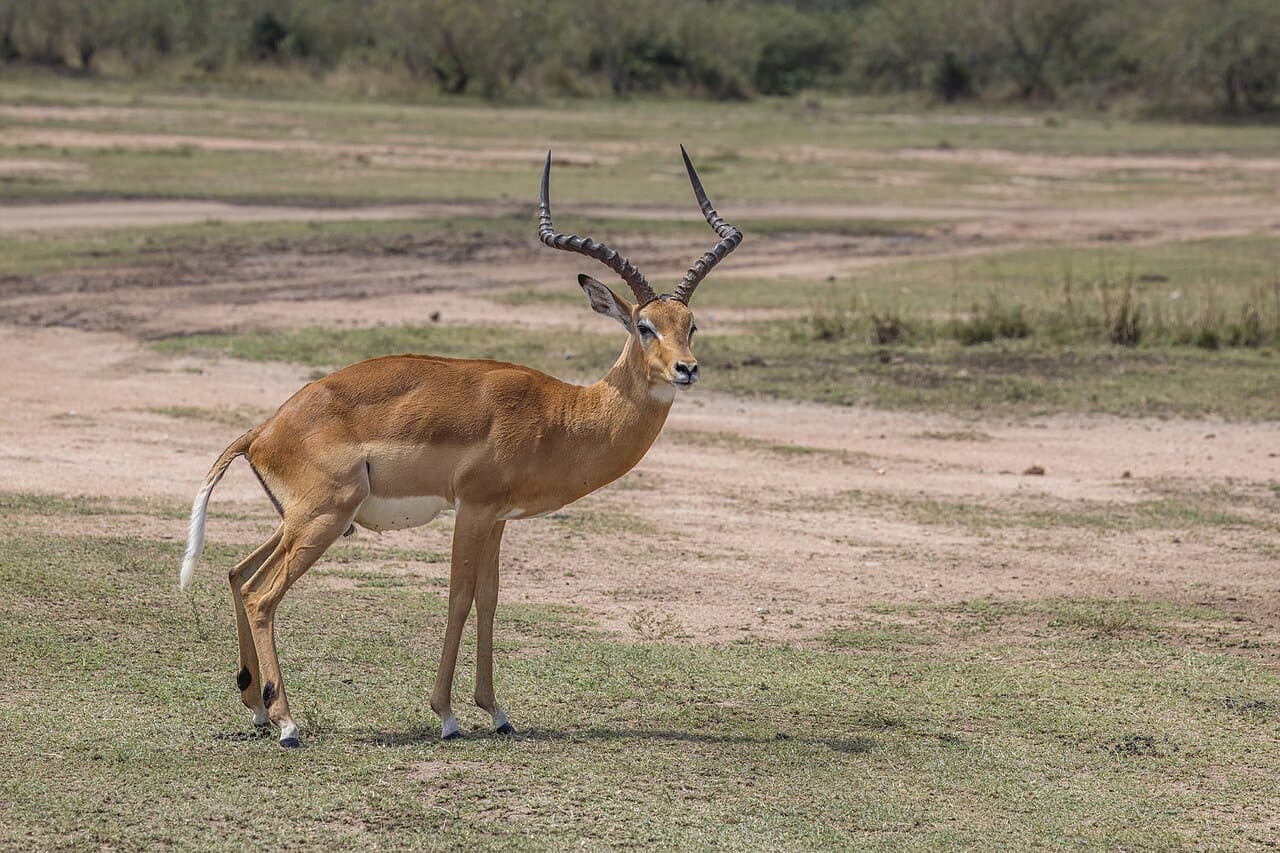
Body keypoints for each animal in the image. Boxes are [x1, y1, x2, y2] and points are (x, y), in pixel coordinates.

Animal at [179, 146, 742, 747]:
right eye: (643, 326)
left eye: (691, 324)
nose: (687, 369)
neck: (561, 414)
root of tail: (265, 428)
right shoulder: (471, 510)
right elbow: (458, 598)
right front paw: (447, 715)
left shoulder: (497, 519)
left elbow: (489, 600)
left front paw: (496, 711)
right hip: (323, 519)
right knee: (261, 595)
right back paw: (287, 722)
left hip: (302, 520)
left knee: (237, 574)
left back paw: (258, 709)